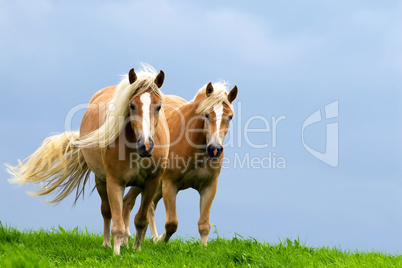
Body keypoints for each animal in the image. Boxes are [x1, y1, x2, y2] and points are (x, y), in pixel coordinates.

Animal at [7, 63, 169, 254]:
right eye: (132, 105)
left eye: (158, 106)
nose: (145, 145)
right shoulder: (115, 182)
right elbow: (117, 225)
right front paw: (116, 254)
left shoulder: (152, 183)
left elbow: (141, 220)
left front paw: (136, 250)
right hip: (101, 180)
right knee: (107, 211)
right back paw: (107, 244)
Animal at [122, 81, 236, 245]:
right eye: (206, 114)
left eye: (230, 117)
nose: (214, 149)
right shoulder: (170, 184)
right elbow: (171, 224)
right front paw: (160, 240)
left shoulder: (209, 186)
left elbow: (204, 225)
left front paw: (203, 247)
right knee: (134, 203)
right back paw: (131, 238)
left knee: (139, 204)